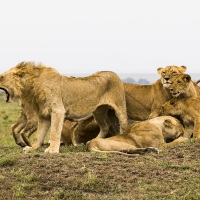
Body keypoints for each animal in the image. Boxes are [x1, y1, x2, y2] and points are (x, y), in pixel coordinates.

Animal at [0, 61, 128, 152]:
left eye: (1, 77)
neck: (32, 87)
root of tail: (114, 73)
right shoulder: (44, 115)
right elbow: (39, 134)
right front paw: (33, 148)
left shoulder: (58, 111)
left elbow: (54, 132)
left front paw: (52, 150)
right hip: (98, 111)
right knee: (105, 126)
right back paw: (93, 140)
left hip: (119, 107)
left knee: (124, 125)